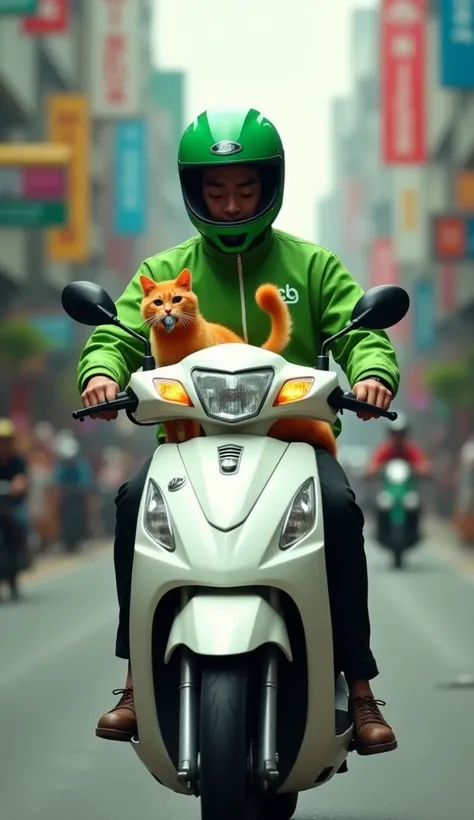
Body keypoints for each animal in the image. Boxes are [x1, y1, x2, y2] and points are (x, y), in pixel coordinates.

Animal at [139, 270, 336, 454]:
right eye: (158, 303)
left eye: (177, 299)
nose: (167, 311)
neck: (175, 341)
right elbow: (171, 429)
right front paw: (172, 442)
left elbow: (190, 430)